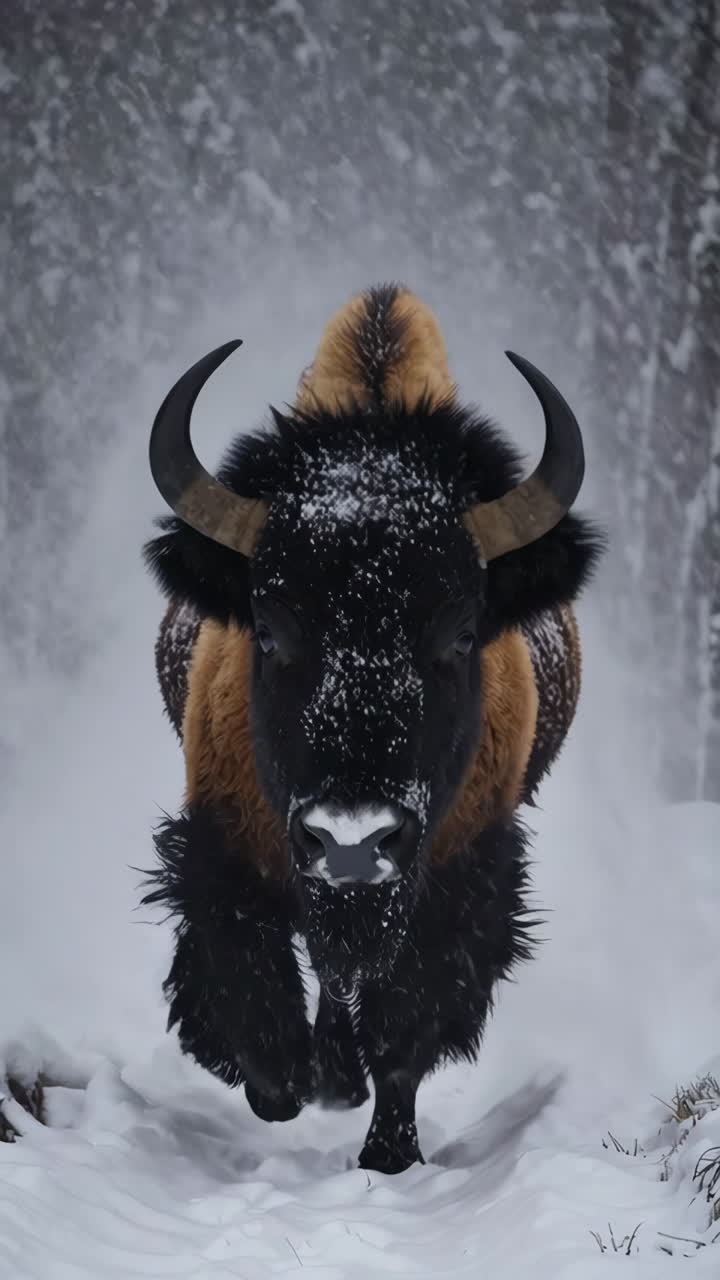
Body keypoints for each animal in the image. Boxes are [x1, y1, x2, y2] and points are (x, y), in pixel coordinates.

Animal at [141, 283, 603, 1173]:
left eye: (461, 632)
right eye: (269, 628)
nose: (352, 840)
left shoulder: (459, 874)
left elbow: (405, 1024)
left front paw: (388, 1153)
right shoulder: (225, 845)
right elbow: (249, 985)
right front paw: (284, 1087)